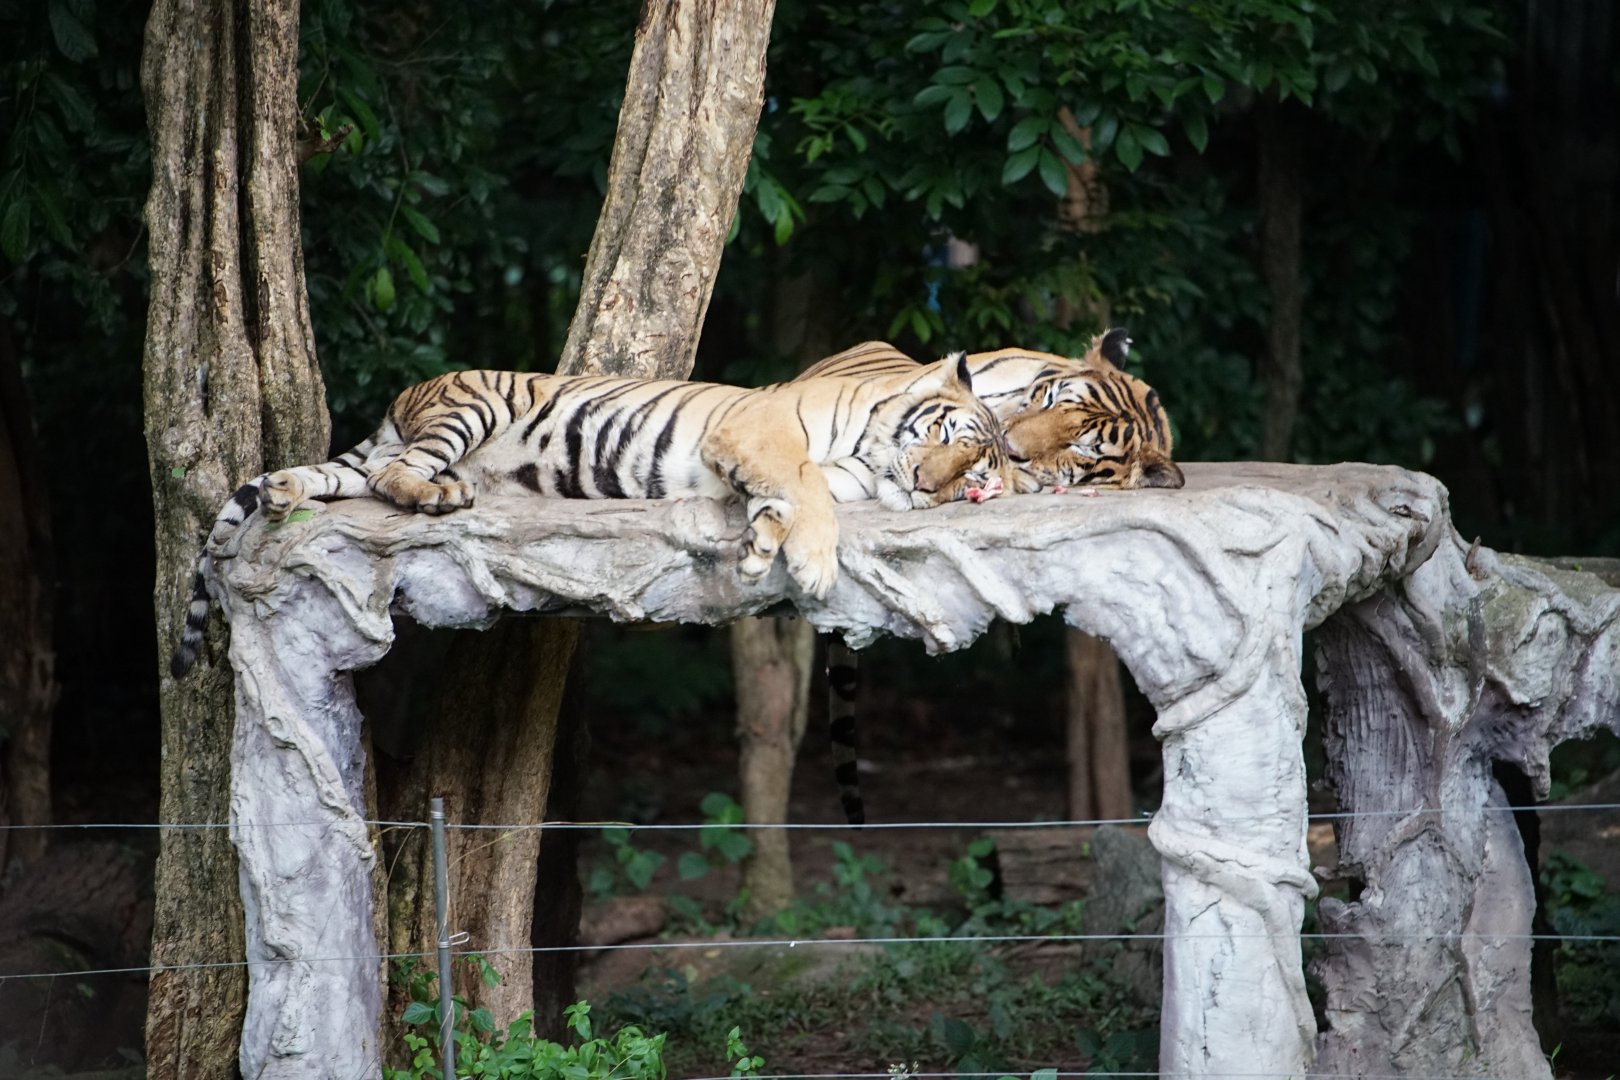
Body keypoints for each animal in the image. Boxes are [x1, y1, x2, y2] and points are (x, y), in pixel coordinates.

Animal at [168, 355, 1014, 677]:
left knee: (343, 477)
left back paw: (287, 495)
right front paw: (805, 560)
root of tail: (407, 398)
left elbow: (789, 498)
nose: (929, 485)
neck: (870, 460)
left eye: (974, 479)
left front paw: (756, 547)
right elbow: (801, 488)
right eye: (950, 438)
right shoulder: (761, 433)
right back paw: (438, 496)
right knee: (390, 473)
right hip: (470, 409)